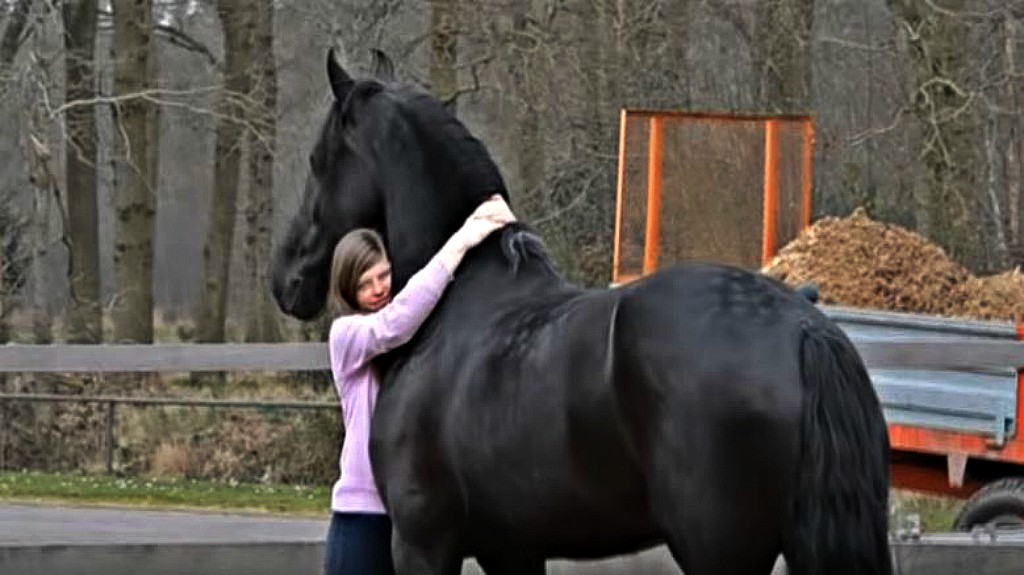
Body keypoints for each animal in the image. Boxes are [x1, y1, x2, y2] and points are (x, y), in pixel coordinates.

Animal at [270, 50, 888, 572]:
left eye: (319, 161)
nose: (285, 278)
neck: (455, 302)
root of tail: (803, 328)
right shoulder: (511, 548)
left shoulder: (423, 541)